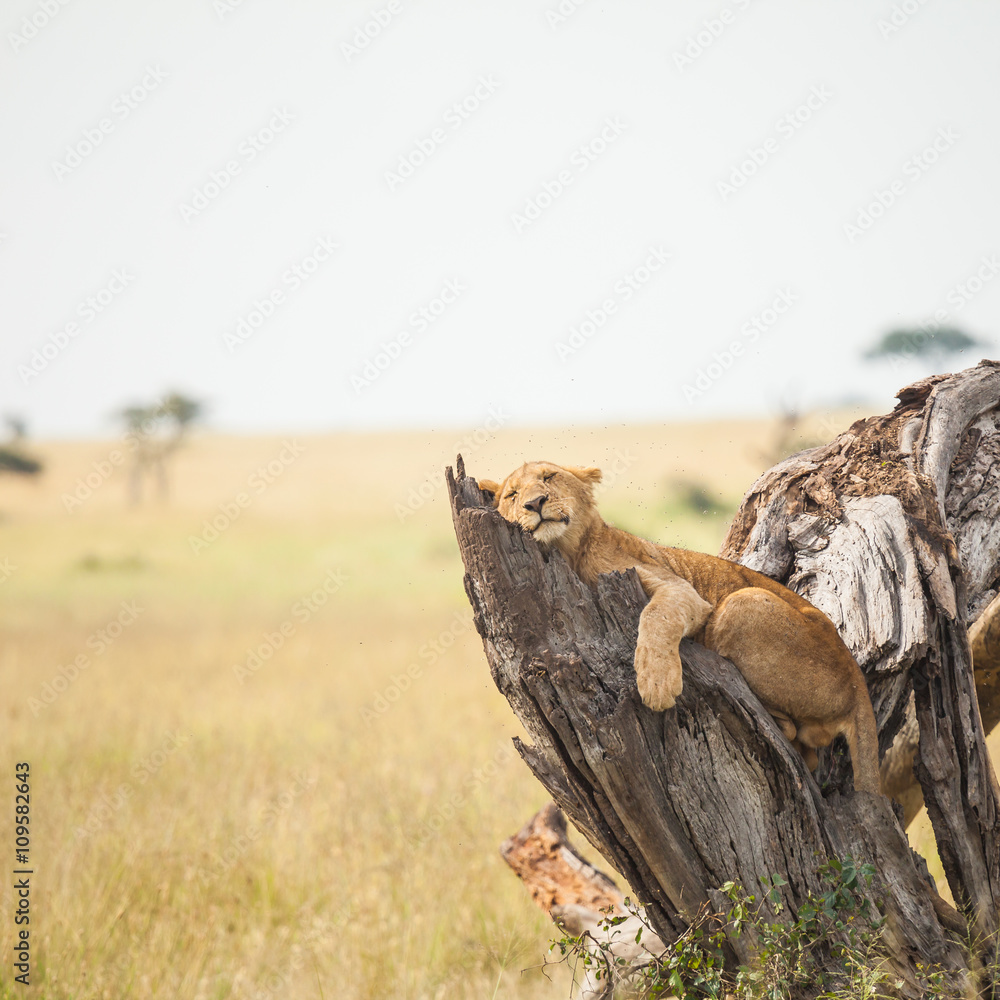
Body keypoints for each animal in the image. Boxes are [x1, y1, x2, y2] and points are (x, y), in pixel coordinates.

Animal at [477, 460, 881, 796]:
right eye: (512, 495)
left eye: (548, 477)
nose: (535, 503)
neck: (569, 551)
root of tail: (857, 681)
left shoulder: (681, 591)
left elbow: (656, 617)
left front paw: (656, 685)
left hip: (742, 603)